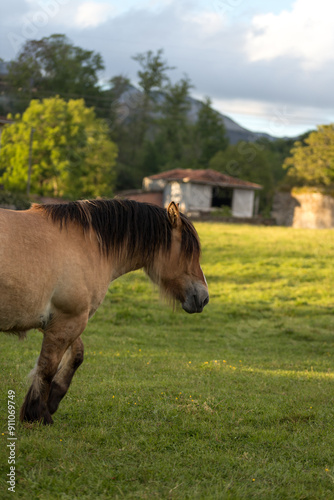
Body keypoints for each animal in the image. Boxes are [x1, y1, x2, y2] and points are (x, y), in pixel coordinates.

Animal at [0, 197, 209, 424]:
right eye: (188, 251)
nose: (204, 298)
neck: (86, 245)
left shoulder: (56, 320)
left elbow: (76, 355)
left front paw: (52, 400)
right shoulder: (67, 320)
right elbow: (47, 367)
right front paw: (37, 414)